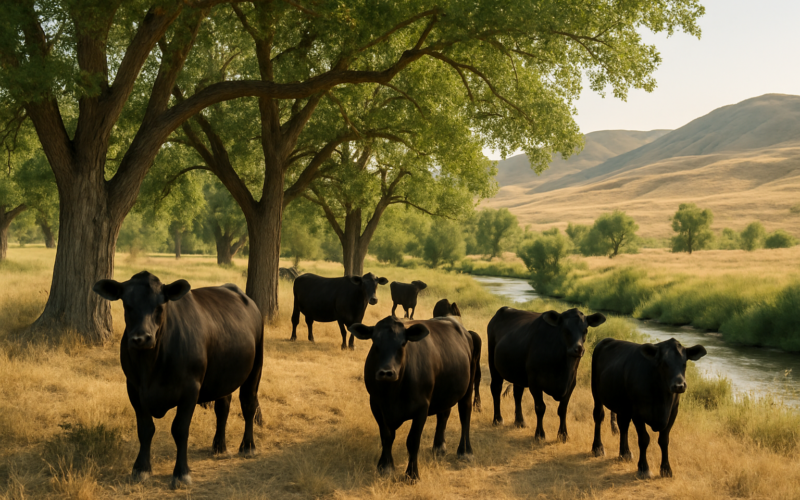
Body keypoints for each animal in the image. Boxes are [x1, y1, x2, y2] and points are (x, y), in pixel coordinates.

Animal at [92, 271, 264, 489]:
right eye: (127, 305)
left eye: (160, 306)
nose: (141, 338)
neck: (151, 365)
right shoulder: (133, 388)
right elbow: (145, 428)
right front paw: (141, 468)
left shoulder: (190, 390)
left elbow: (180, 429)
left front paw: (181, 473)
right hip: (222, 376)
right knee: (222, 407)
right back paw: (219, 446)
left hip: (256, 367)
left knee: (249, 404)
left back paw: (248, 446)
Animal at [348, 315, 481, 481]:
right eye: (375, 342)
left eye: (402, 343)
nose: (386, 372)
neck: (391, 393)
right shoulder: (376, 404)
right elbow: (386, 436)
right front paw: (385, 467)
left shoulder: (421, 408)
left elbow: (412, 441)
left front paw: (412, 474)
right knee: (443, 415)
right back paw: (439, 447)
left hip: (468, 387)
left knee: (465, 414)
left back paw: (465, 451)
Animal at [487, 306, 605, 443]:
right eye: (565, 329)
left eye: (585, 330)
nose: (579, 349)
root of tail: (504, 309)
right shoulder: (535, 383)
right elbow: (540, 408)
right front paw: (539, 434)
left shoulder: (571, 383)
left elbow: (562, 409)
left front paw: (563, 434)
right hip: (493, 365)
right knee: (496, 388)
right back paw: (497, 419)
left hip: (518, 374)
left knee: (517, 393)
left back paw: (520, 421)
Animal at [590, 338, 707, 479]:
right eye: (664, 363)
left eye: (684, 363)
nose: (679, 385)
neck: (662, 399)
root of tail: (607, 340)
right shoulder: (637, 412)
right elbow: (644, 439)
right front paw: (643, 468)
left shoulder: (673, 412)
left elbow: (664, 440)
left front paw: (666, 469)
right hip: (596, 393)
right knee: (598, 417)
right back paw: (597, 448)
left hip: (623, 406)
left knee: (623, 425)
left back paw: (625, 453)